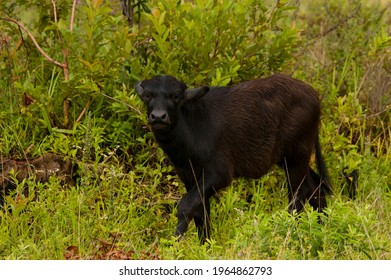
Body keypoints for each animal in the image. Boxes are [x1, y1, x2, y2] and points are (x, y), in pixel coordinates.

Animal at [136, 74, 332, 243]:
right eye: (148, 95)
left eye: (175, 96)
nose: (158, 116)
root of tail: (313, 95)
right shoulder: (189, 176)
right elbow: (200, 212)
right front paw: (205, 245)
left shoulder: (219, 174)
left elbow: (186, 206)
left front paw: (174, 243)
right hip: (290, 160)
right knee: (314, 187)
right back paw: (322, 228)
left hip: (296, 158)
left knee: (297, 196)